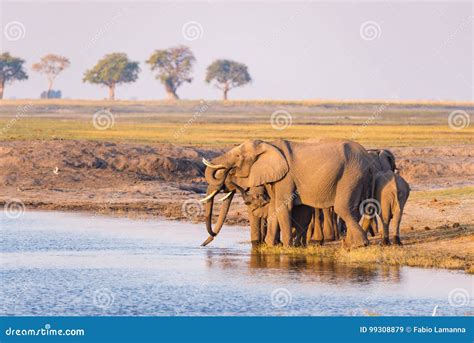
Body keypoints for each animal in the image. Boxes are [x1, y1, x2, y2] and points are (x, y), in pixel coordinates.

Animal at [198, 138, 372, 249]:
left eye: (238, 157)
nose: (202, 245)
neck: (269, 145)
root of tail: (367, 156)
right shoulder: (276, 178)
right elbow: (275, 206)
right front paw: (270, 245)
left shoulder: (286, 176)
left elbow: (282, 206)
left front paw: (286, 247)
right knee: (354, 208)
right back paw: (351, 244)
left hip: (351, 173)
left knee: (343, 208)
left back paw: (359, 244)